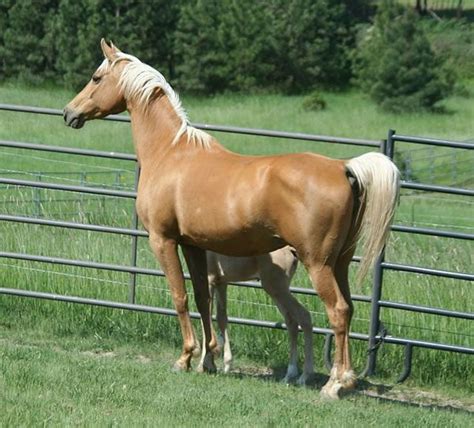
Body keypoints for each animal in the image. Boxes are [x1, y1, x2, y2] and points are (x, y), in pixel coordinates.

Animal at [206, 246, 312, 382]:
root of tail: (290, 250)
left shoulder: (209, 279)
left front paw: (206, 364)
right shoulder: (221, 282)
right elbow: (221, 318)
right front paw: (226, 365)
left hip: (276, 288)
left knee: (304, 316)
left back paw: (304, 377)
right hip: (276, 291)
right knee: (291, 322)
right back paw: (289, 374)